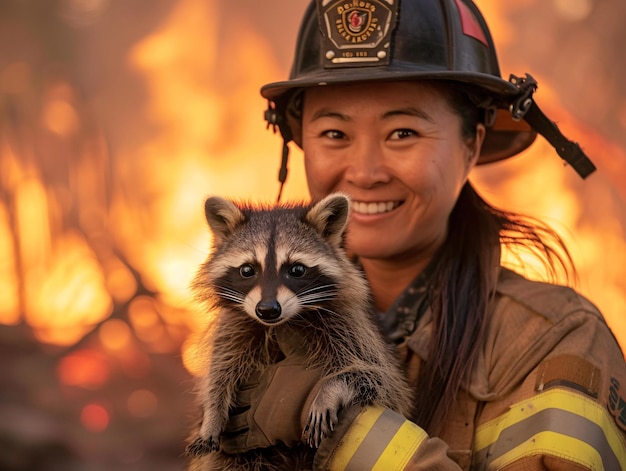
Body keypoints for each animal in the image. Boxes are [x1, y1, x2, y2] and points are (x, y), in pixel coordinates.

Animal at [183, 194, 412, 471]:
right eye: (247, 270)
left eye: (296, 270)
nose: (267, 309)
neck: (278, 326)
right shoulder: (234, 329)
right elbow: (219, 373)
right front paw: (212, 414)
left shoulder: (352, 328)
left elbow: (376, 377)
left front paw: (330, 390)